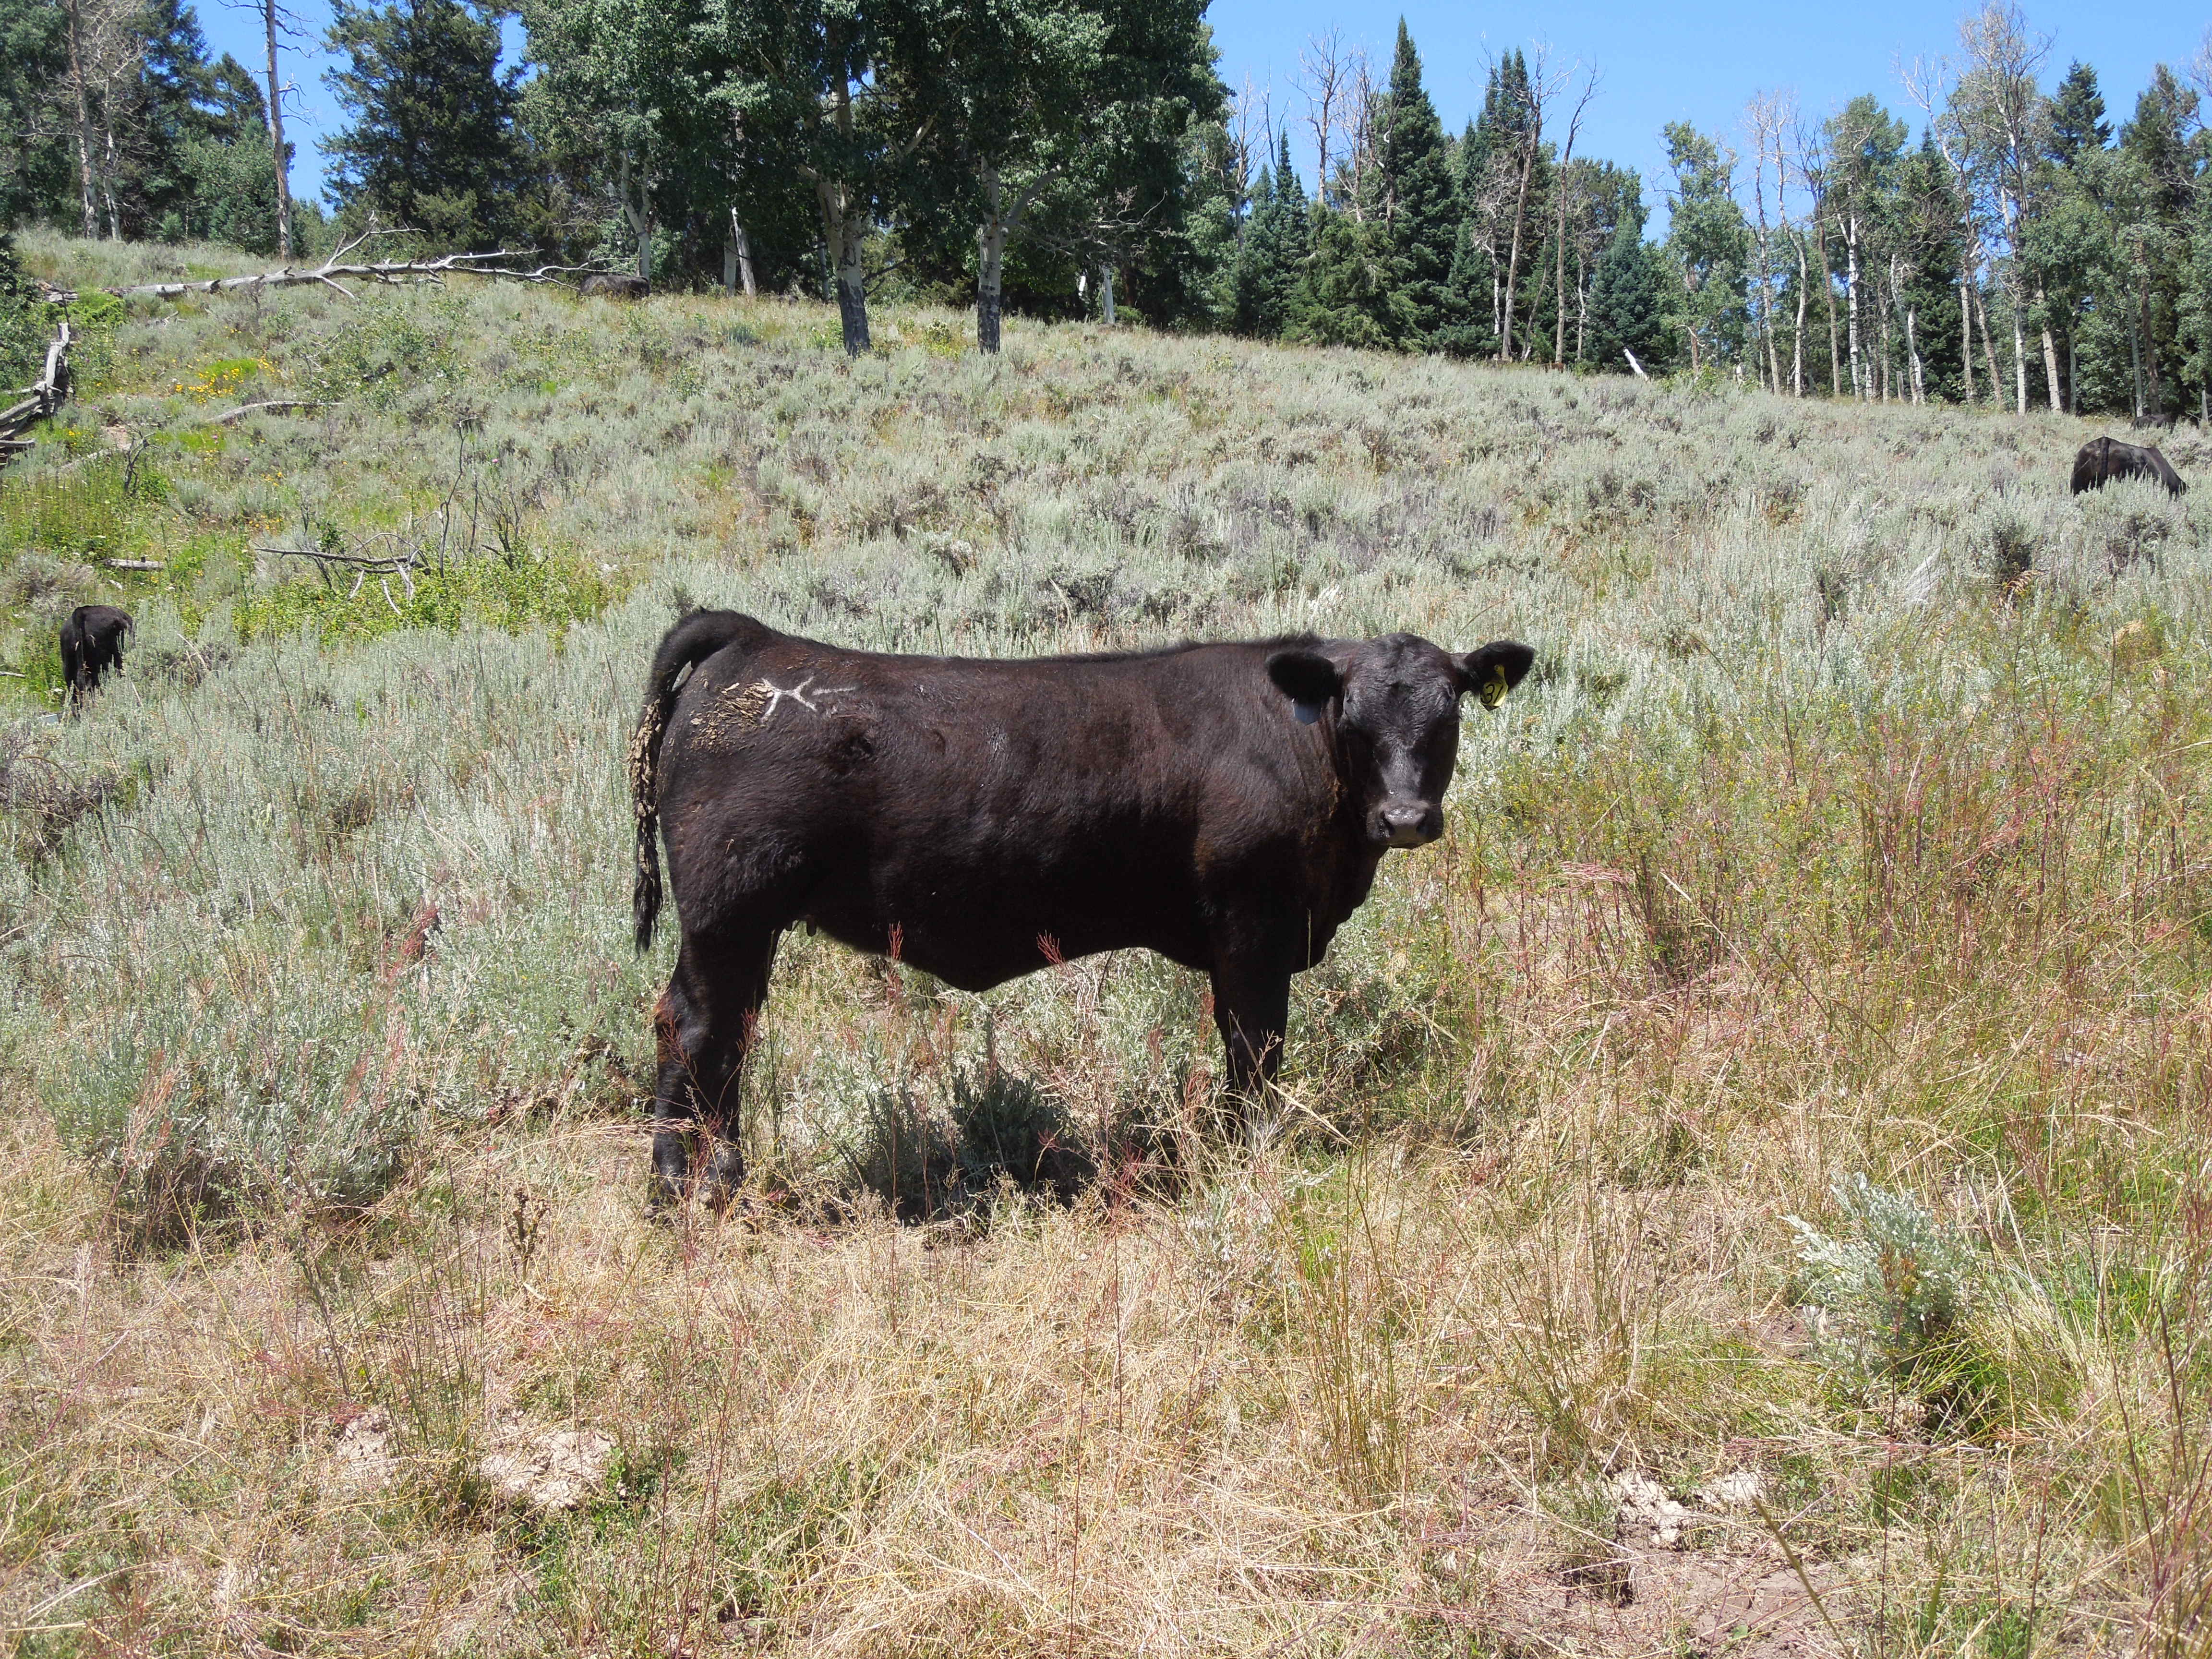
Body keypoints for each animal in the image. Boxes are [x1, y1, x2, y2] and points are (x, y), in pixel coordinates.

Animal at [628, 610, 1537, 1206]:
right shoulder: (1254, 925)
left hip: (737, 922)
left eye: (1448, 713)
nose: (1406, 818)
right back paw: (701, 1184)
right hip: (729, 908)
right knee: (704, 1028)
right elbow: (1255, 1046)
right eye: (1353, 718)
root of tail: (752, 638)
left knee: (707, 1026)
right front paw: (1249, 1151)